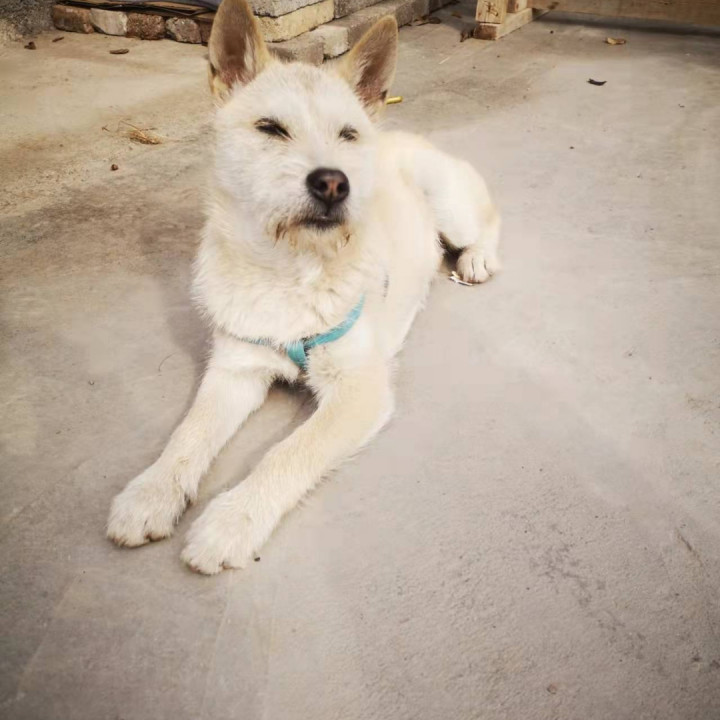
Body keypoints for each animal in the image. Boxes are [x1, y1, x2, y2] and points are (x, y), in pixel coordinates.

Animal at [107, 0, 501, 574]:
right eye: (271, 128)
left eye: (348, 135)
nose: (334, 183)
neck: (289, 271)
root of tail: (399, 134)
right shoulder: (234, 370)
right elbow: (189, 432)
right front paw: (151, 492)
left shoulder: (358, 389)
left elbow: (288, 452)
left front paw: (233, 521)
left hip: (450, 203)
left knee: (489, 222)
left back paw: (476, 259)